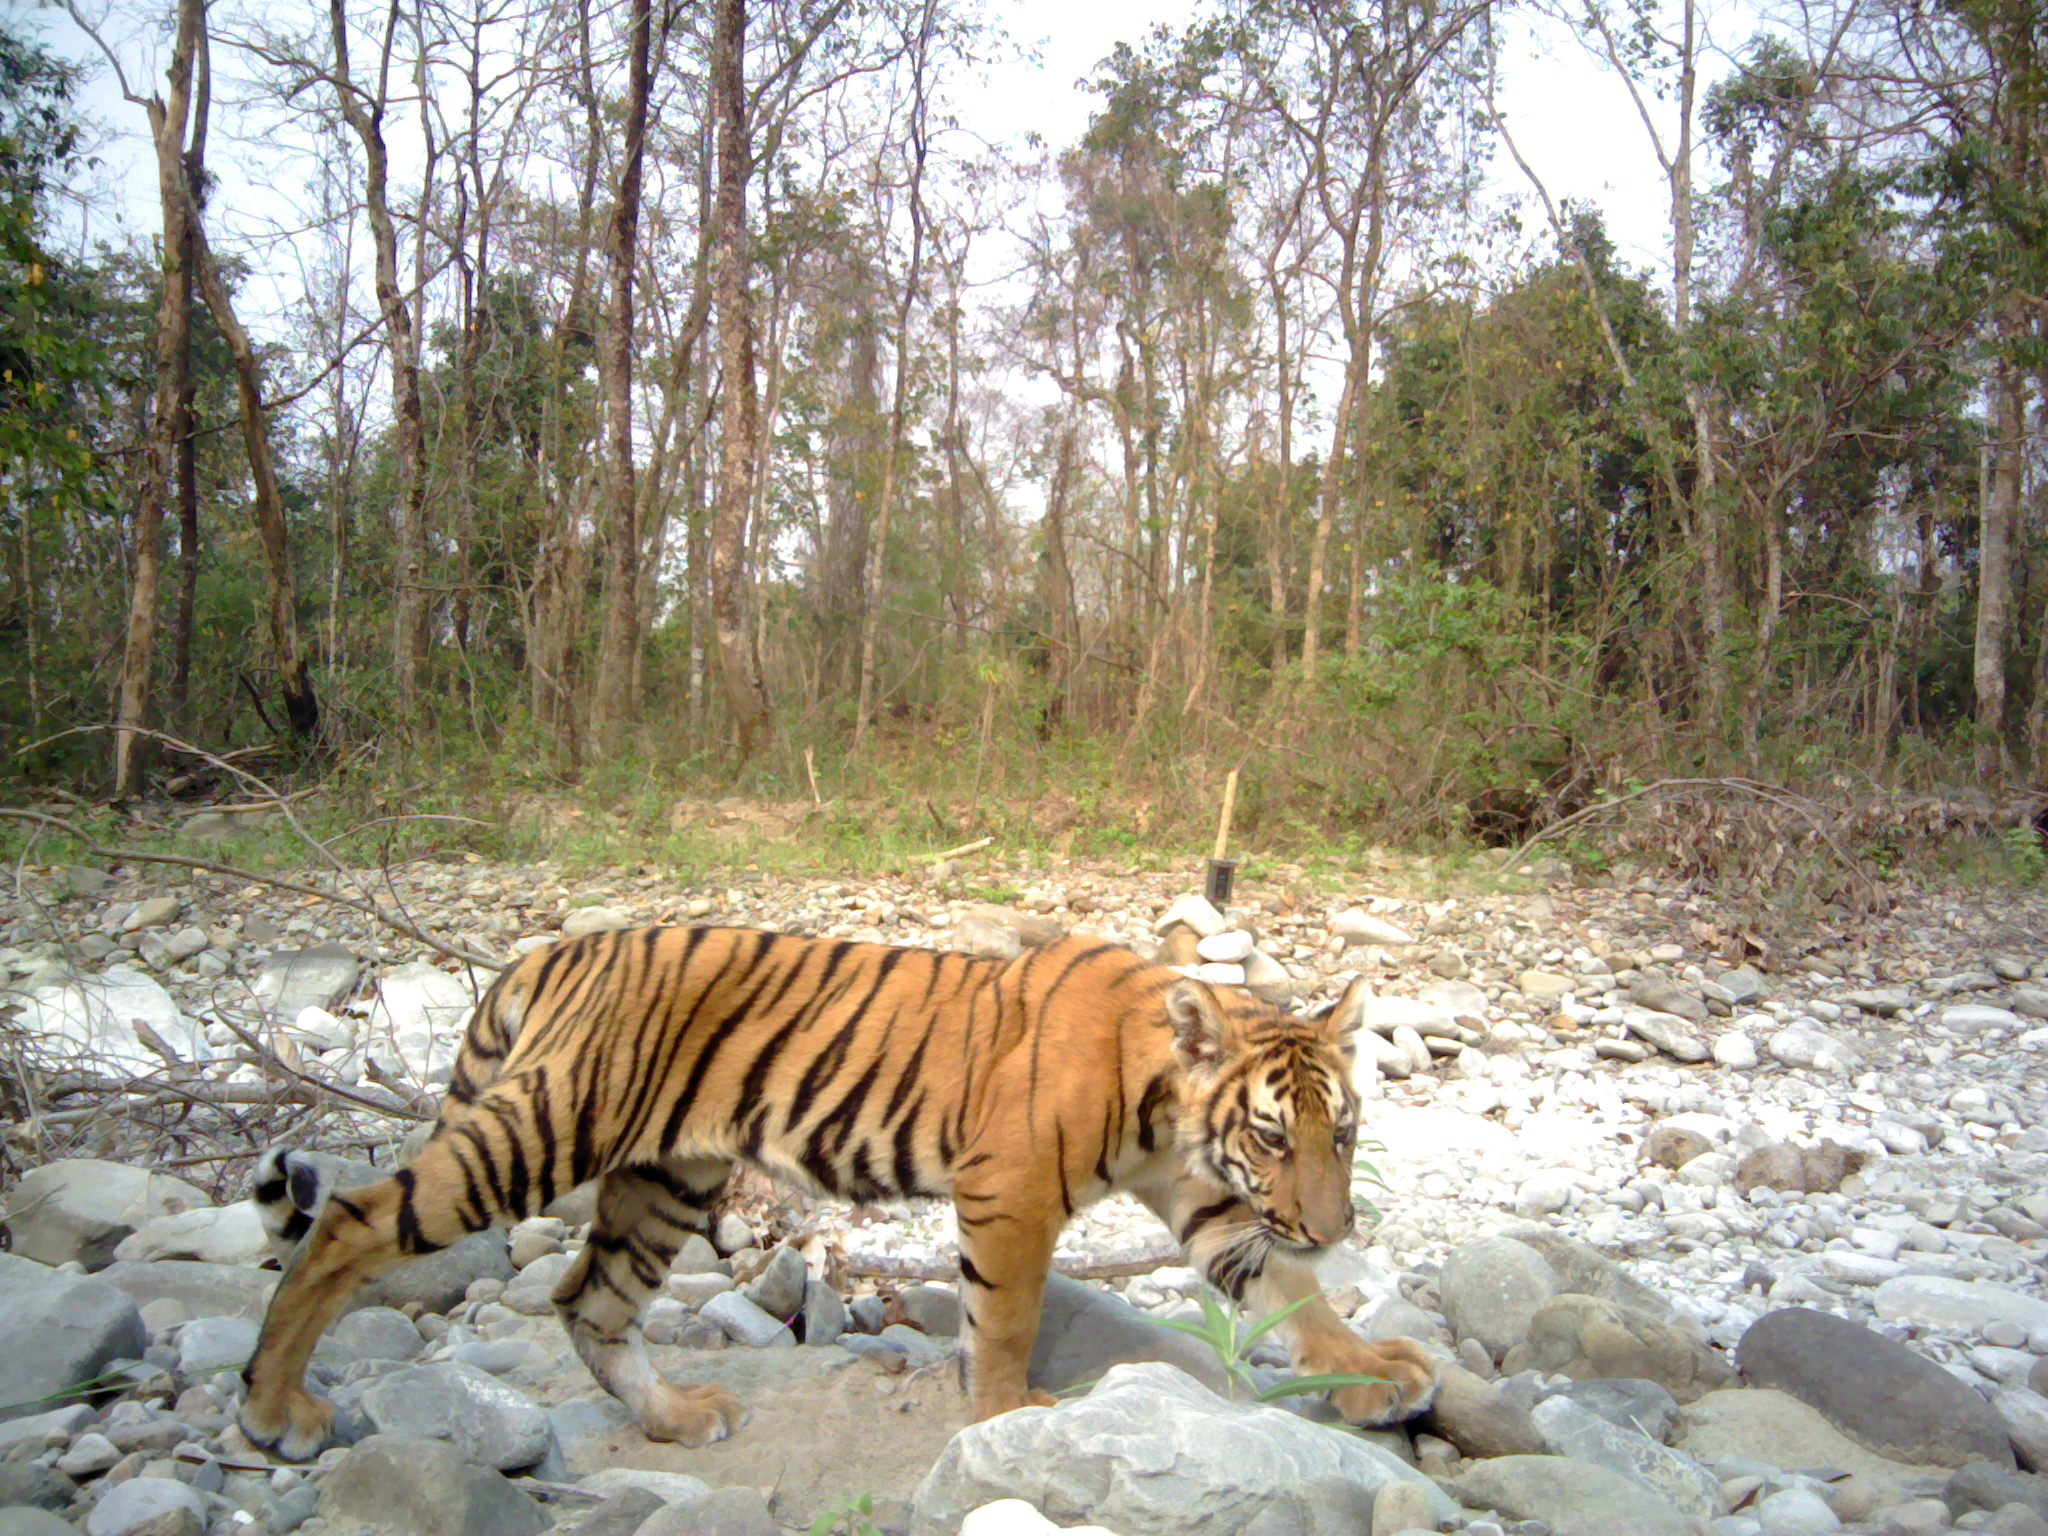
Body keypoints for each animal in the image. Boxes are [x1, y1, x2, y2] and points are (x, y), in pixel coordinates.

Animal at [238, 926, 1439, 1461]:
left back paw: (677, 1418)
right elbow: (1004, 1317)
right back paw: (274, 1407)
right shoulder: (1009, 1192)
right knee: (346, 1221)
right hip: (546, 1128)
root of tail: (549, 951)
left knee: (589, 1302)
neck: (1166, 1103)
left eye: (1342, 1132)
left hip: (666, 1177)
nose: (1336, 1226)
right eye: (1270, 1135)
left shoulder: (1201, 1198)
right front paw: (1006, 1416)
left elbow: (1285, 1289)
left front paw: (1378, 1374)